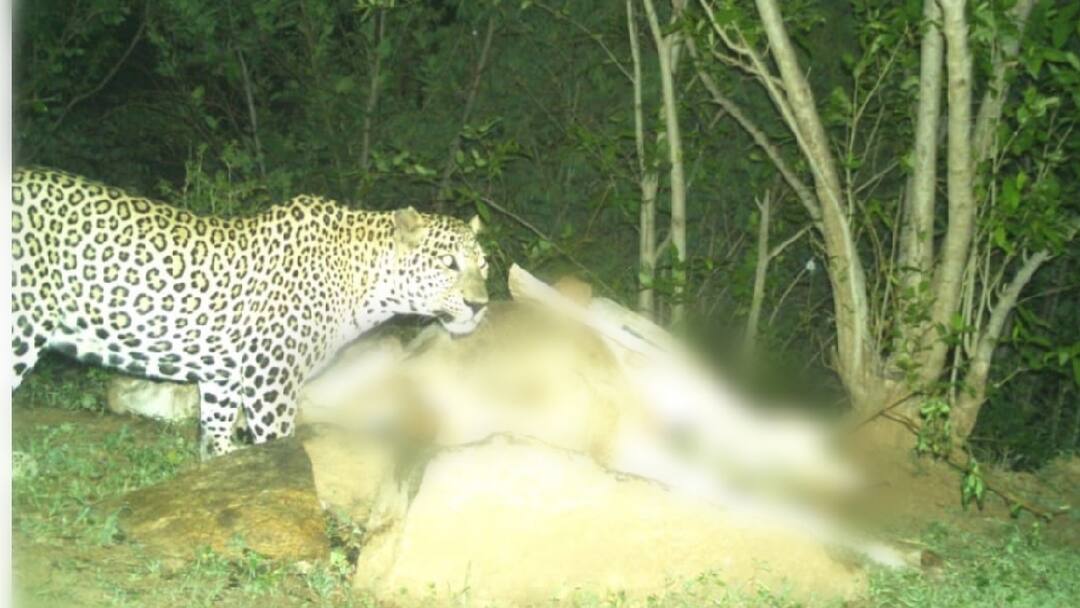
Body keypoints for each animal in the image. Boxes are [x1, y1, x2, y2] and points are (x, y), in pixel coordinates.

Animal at [10, 167, 490, 458]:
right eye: (449, 264)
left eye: (483, 265)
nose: (480, 305)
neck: (365, 281)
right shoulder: (270, 379)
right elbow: (282, 447)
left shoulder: (223, 377)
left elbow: (216, 438)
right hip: (20, 330)